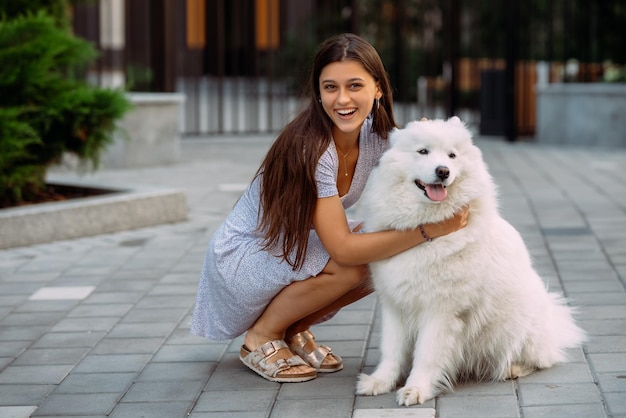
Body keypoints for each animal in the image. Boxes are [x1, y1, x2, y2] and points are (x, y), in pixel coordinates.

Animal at [356, 118, 584, 408]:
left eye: (452, 156)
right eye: (423, 152)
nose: (443, 171)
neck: (424, 230)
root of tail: (555, 323)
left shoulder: (440, 311)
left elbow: (426, 354)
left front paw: (416, 389)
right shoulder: (394, 305)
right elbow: (391, 350)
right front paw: (380, 382)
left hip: (515, 327)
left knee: (539, 360)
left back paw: (512, 369)